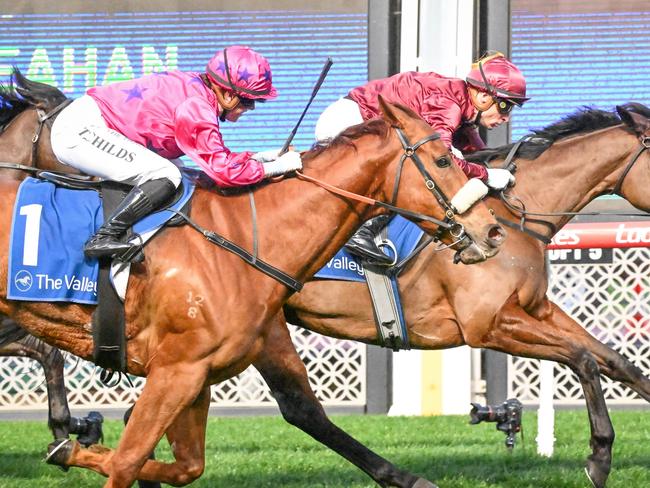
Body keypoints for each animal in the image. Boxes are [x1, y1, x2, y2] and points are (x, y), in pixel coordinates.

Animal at [280, 103, 648, 488]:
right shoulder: (488, 325)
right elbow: (583, 358)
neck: (513, 213)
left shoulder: (537, 309)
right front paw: (599, 456)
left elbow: (614, 359)